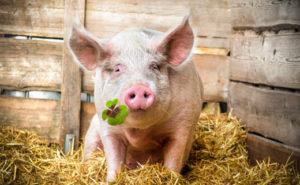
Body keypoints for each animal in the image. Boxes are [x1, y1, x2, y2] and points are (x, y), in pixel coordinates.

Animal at [68, 16, 203, 182]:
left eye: (154, 66)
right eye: (118, 68)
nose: (139, 88)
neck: (140, 132)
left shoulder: (183, 124)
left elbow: (174, 158)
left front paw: (170, 177)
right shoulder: (108, 127)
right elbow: (113, 157)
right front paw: (111, 180)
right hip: (92, 130)